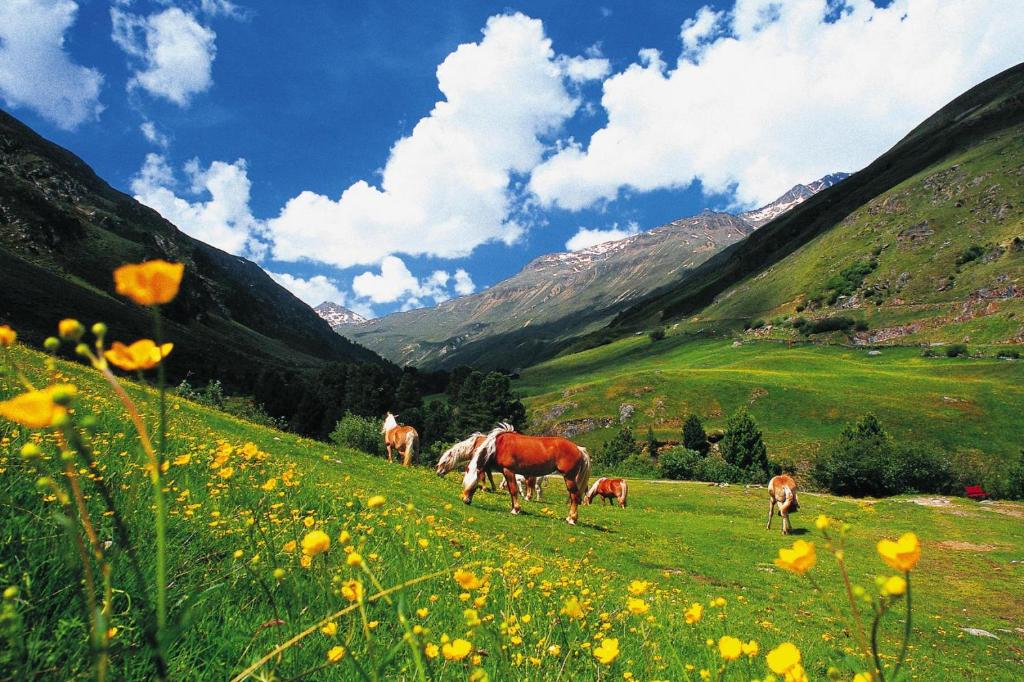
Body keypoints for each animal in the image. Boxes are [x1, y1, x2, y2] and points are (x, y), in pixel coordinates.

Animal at [464, 421, 593, 522]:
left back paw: (572, 519)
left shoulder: (509, 471)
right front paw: (514, 507)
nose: (466, 501)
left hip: (569, 477)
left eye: (474, 484)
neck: (498, 445)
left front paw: (516, 509)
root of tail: (579, 448)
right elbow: (511, 490)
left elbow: (514, 490)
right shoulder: (506, 473)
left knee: (575, 496)